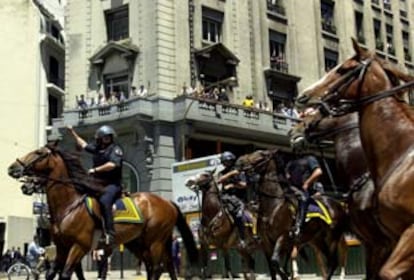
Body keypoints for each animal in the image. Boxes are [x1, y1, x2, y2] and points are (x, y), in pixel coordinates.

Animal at [6, 144, 199, 280]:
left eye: (39, 153)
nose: (12, 167)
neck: (69, 205)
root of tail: (167, 201)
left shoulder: (79, 246)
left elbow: (66, 274)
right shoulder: (62, 247)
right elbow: (55, 274)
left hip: (155, 241)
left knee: (157, 268)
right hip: (143, 243)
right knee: (163, 267)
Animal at [234, 150, 348, 280]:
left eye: (262, 154)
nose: (240, 161)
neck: (274, 206)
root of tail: (338, 204)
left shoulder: (283, 237)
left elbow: (275, 262)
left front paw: (286, 275)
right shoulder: (266, 243)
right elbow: (272, 268)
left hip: (331, 238)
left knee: (333, 262)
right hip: (317, 240)